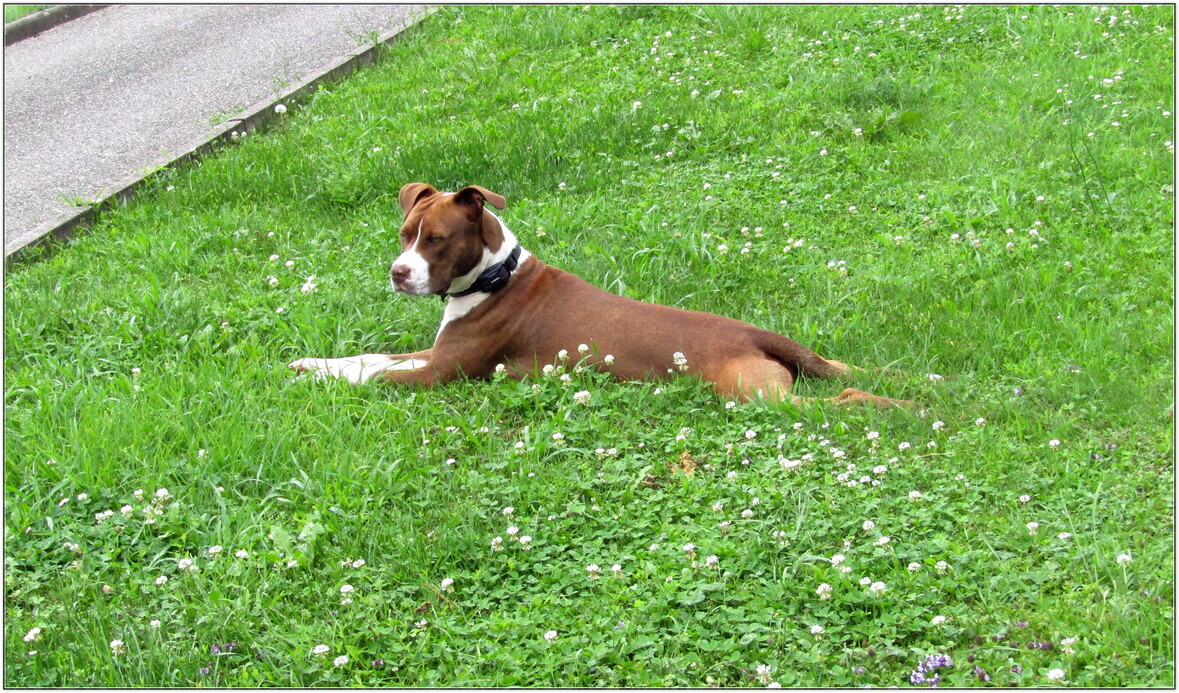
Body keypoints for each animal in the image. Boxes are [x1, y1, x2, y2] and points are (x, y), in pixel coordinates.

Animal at [287, 183, 910, 407]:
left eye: (435, 240)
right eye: (403, 233)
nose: (397, 272)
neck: (496, 274)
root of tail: (756, 333)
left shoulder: (442, 371)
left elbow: (374, 376)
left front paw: (319, 380)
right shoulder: (434, 352)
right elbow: (369, 358)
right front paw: (311, 364)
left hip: (757, 397)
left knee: (842, 399)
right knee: (847, 371)